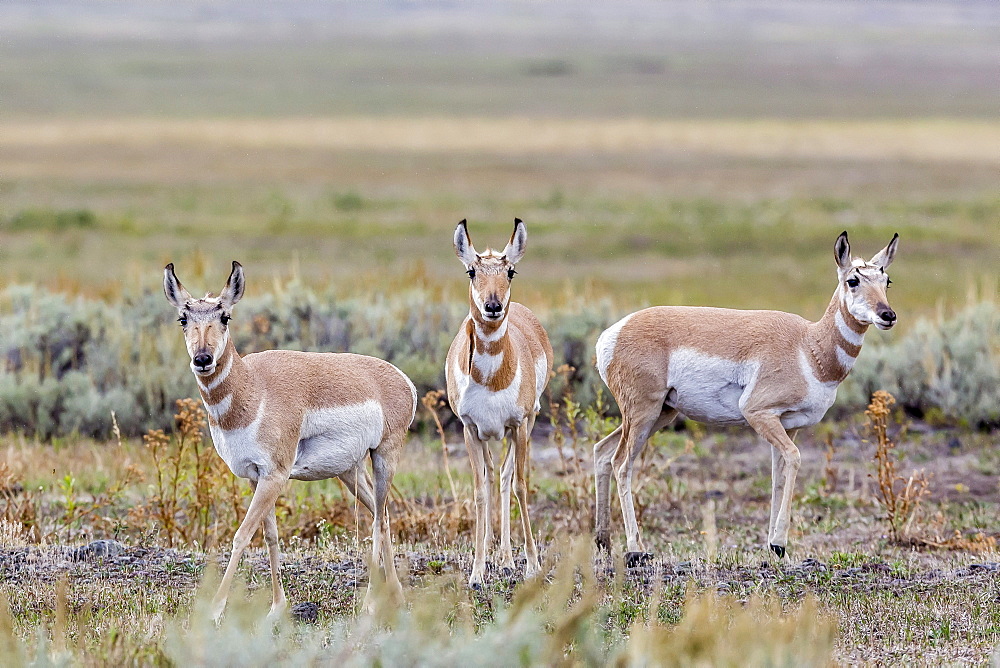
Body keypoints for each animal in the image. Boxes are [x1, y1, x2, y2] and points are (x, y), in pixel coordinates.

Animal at [164, 260, 414, 616]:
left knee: (379, 520)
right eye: (183, 319)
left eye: (225, 316)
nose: (202, 359)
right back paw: (397, 596)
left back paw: (369, 604)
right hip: (350, 472)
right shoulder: (256, 476)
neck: (253, 387)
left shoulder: (276, 475)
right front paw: (277, 607)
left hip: (384, 459)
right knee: (384, 516)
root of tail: (401, 378)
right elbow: (270, 535)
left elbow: (242, 535)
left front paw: (214, 609)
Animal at [448, 219, 556, 588]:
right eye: (471, 271)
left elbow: (521, 485)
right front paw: (477, 572)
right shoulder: (470, 430)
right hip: (490, 436)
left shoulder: (519, 426)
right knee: (494, 477)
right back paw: (500, 558)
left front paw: (533, 566)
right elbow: (480, 490)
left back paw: (510, 560)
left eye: (510, 271)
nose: (493, 306)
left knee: (507, 477)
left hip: (524, 427)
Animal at [592, 232, 900, 560]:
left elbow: (779, 475)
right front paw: (779, 544)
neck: (809, 346)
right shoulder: (759, 414)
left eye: (886, 280)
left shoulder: (789, 425)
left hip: (659, 414)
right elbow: (794, 459)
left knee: (602, 452)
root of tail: (611, 334)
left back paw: (603, 541)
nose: (888, 315)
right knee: (621, 464)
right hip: (642, 414)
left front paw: (774, 547)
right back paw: (636, 550)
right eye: (853, 280)